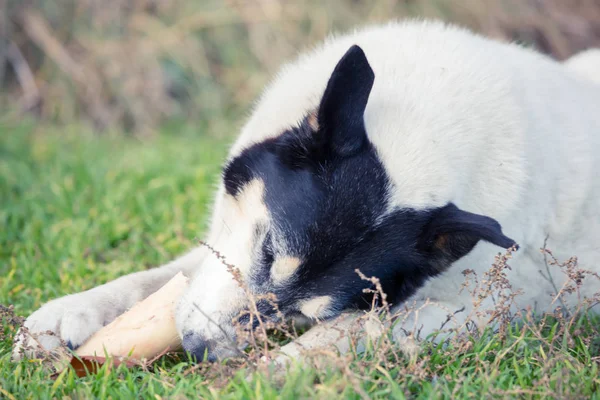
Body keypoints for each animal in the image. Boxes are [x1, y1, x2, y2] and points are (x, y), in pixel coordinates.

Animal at [12, 20, 600, 364]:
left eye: (307, 313)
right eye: (270, 251)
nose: (199, 351)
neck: (436, 133)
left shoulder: (467, 312)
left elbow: (350, 332)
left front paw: (275, 372)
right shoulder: (218, 252)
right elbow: (152, 279)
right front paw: (66, 317)